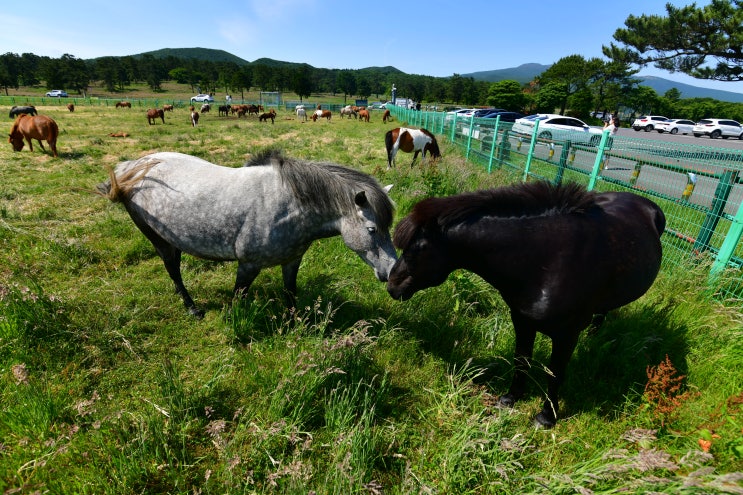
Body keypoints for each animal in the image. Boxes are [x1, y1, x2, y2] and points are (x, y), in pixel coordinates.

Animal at [100, 149, 402, 318]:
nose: (392, 272)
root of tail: (130, 169)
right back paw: (192, 308)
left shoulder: (292, 261)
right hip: (160, 240)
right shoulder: (248, 264)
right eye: (372, 229)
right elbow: (238, 298)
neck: (291, 205)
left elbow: (290, 293)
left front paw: (294, 323)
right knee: (173, 270)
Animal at [386, 180, 664, 428]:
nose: (391, 285)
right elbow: (521, 360)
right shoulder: (522, 320)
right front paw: (511, 398)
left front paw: (547, 417)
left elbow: (555, 373)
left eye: (416, 250)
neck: (546, 261)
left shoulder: (567, 335)